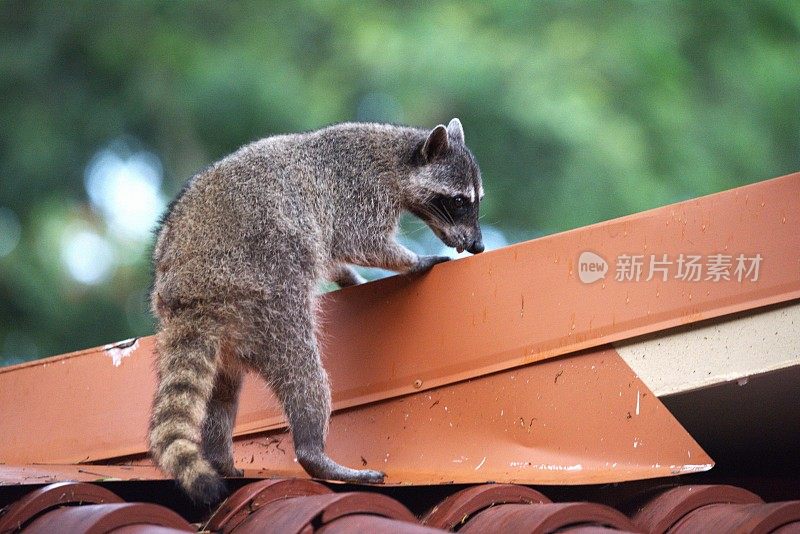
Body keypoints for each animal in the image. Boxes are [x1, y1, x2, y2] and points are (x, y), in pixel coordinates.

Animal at [150, 118, 484, 506]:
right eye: (459, 201)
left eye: (476, 201)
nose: (478, 245)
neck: (398, 156)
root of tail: (191, 296)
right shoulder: (358, 191)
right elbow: (361, 242)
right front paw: (411, 261)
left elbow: (335, 253)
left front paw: (349, 276)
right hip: (266, 294)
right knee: (303, 369)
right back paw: (313, 450)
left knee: (222, 395)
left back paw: (221, 457)